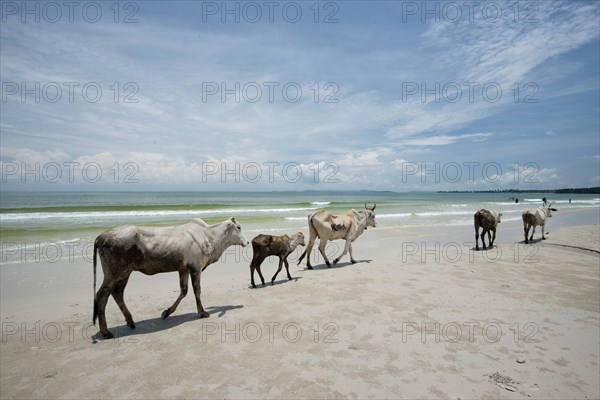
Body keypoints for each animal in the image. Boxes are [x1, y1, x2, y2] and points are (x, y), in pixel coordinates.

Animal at [91, 217, 248, 340]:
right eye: (238, 227)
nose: (246, 242)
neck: (209, 237)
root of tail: (99, 237)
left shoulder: (183, 269)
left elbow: (183, 291)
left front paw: (167, 312)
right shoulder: (195, 268)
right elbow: (196, 290)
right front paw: (202, 312)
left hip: (124, 273)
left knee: (117, 293)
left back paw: (130, 322)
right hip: (115, 273)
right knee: (102, 294)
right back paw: (106, 331)